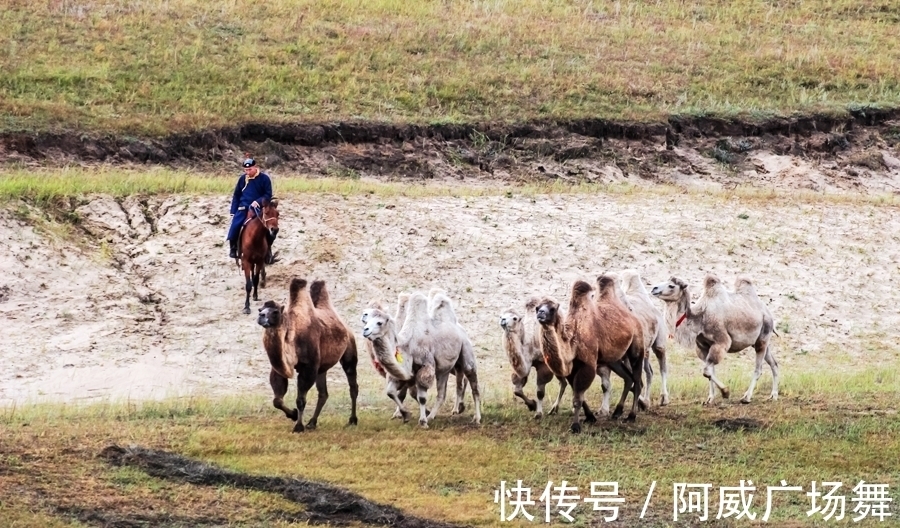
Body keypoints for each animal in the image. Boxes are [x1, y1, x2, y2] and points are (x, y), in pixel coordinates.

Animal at [256, 278, 358, 432]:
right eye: (260, 309)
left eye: (275, 312)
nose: (261, 316)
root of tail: (346, 327)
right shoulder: (279, 369)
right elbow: (277, 400)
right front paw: (293, 415)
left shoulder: (309, 367)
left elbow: (300, 399)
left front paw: (298, 426)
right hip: (322, 368)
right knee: (323, 394)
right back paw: (312, 423)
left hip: (349, 349)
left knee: (353, 385)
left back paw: (352, 420)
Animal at [536, 274, 648, 432]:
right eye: (537, 307)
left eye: (552, 309)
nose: (540, 313)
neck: (573, 341)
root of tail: (633, 317)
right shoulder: (572, 368)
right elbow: (578, 394)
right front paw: (590, 417)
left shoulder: (587, 364)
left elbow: (578, 398)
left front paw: (575, 426)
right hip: (613, 359)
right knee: (628, 378)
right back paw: (617, 412)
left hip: (636, 346)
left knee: (637, 380)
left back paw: (631, 416)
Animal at [648, 272, 780, 404]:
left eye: (671, 286)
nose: (654, 289)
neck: (700, 319)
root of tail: (768, 312)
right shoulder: (703, 347)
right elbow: (710, 371)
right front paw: (710, 398)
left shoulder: (721, 341)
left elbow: (707, 371)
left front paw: (725, 392)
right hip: (761, 341)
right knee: (774, 363)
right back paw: (773, 395)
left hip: (763, 335)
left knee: (758, 369)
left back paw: (746, 397)